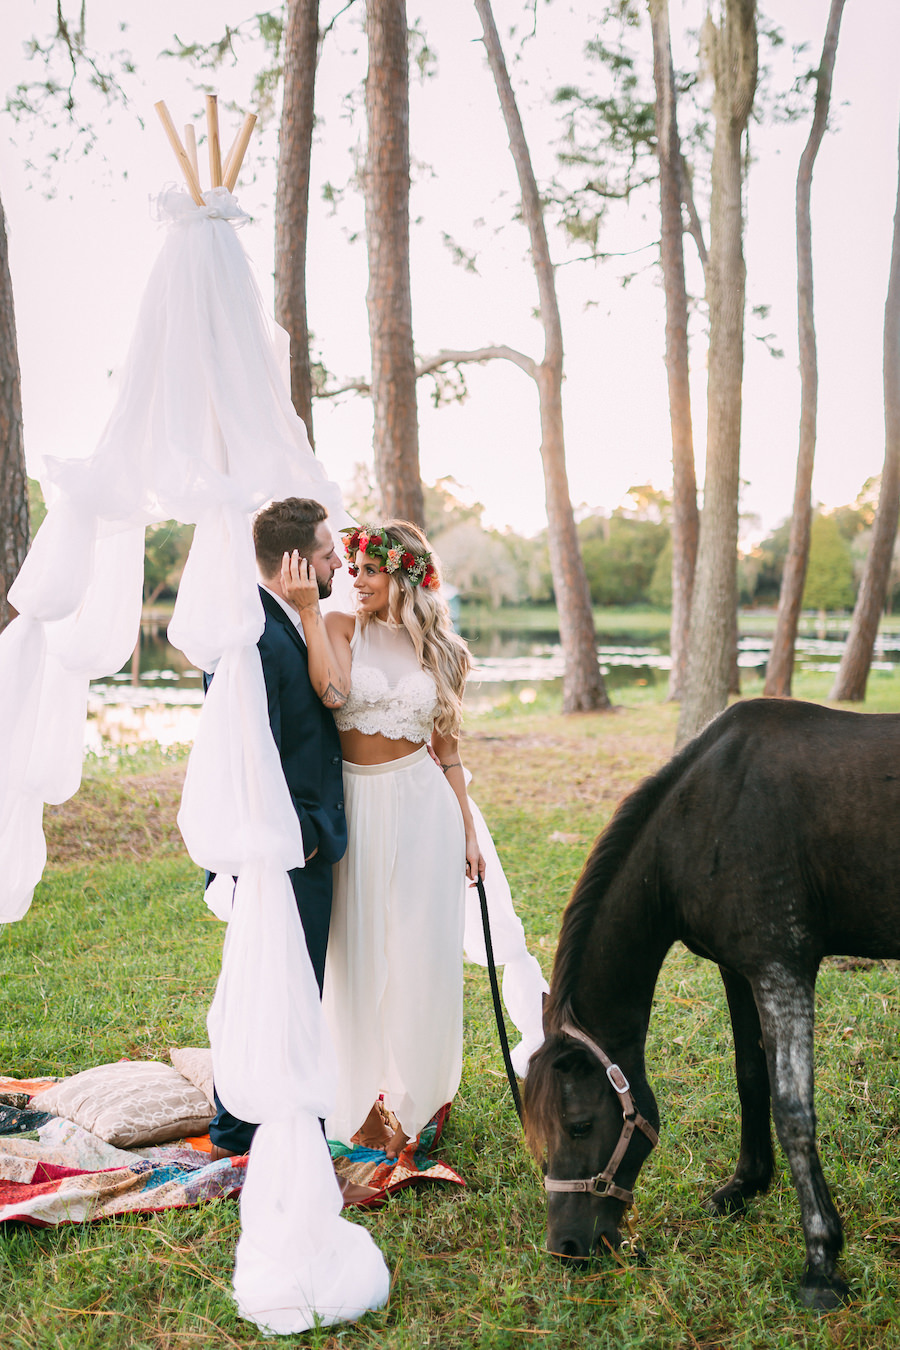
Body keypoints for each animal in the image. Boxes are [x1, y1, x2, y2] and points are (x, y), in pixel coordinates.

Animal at [523, 696, 900, 1306]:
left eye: (578, 1125)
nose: (566, 1247)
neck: (705, 816)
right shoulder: (738, 968)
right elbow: (750, 1076)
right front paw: (746, 1185)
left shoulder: (781, 968)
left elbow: (793, 1110)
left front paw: (821, 1264)